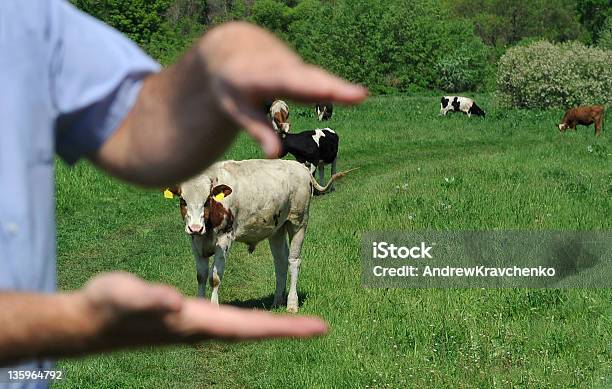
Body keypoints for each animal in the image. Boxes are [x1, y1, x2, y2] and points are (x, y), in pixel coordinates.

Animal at [170, 158, 346, 312]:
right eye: (183, 201)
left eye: (207, 200)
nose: (195, 227)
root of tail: (300, 167)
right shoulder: (196, 241)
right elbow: (201, 276)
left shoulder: (224, 239)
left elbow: (215, 278)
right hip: (277, 229)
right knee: (281, 261)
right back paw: (277, 301)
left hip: (298, 222)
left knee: (294, 261)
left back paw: (292, 304)